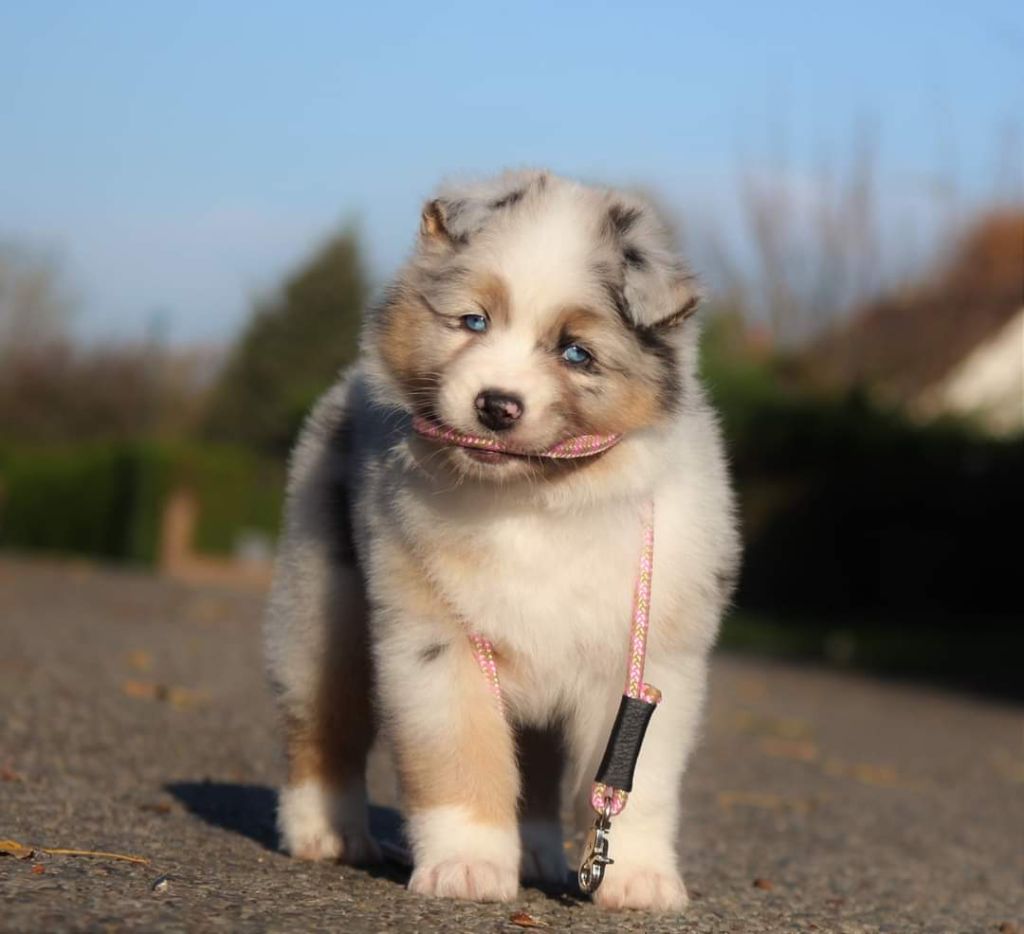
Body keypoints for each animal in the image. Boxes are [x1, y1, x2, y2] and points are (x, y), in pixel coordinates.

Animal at [264, 170, 741, 913]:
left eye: (576, 352)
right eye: (473, 322)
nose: (495, 405)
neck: (535, 499)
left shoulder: (648, 664)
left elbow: (637, 784)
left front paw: (638, 878)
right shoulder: (435, 643)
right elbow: (460, 758)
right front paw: (466, 867)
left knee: (538, 770)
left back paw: (539, 854)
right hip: (321, 609)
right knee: (322, 720)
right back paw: (325, 831)